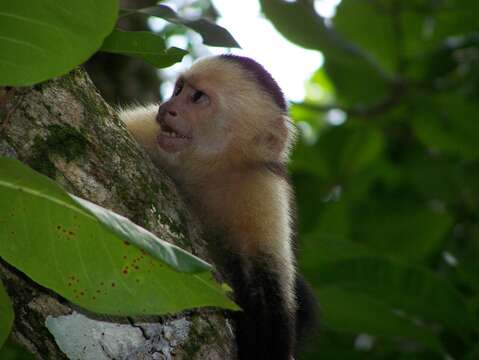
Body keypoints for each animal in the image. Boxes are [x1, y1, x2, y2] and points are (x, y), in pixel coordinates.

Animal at [120, 54, 316, 358]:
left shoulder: (261, 189)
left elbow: (267, 280)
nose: (168, 108)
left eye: (197, 97)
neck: (207, 172)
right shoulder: (147, 130)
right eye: (179, 89)